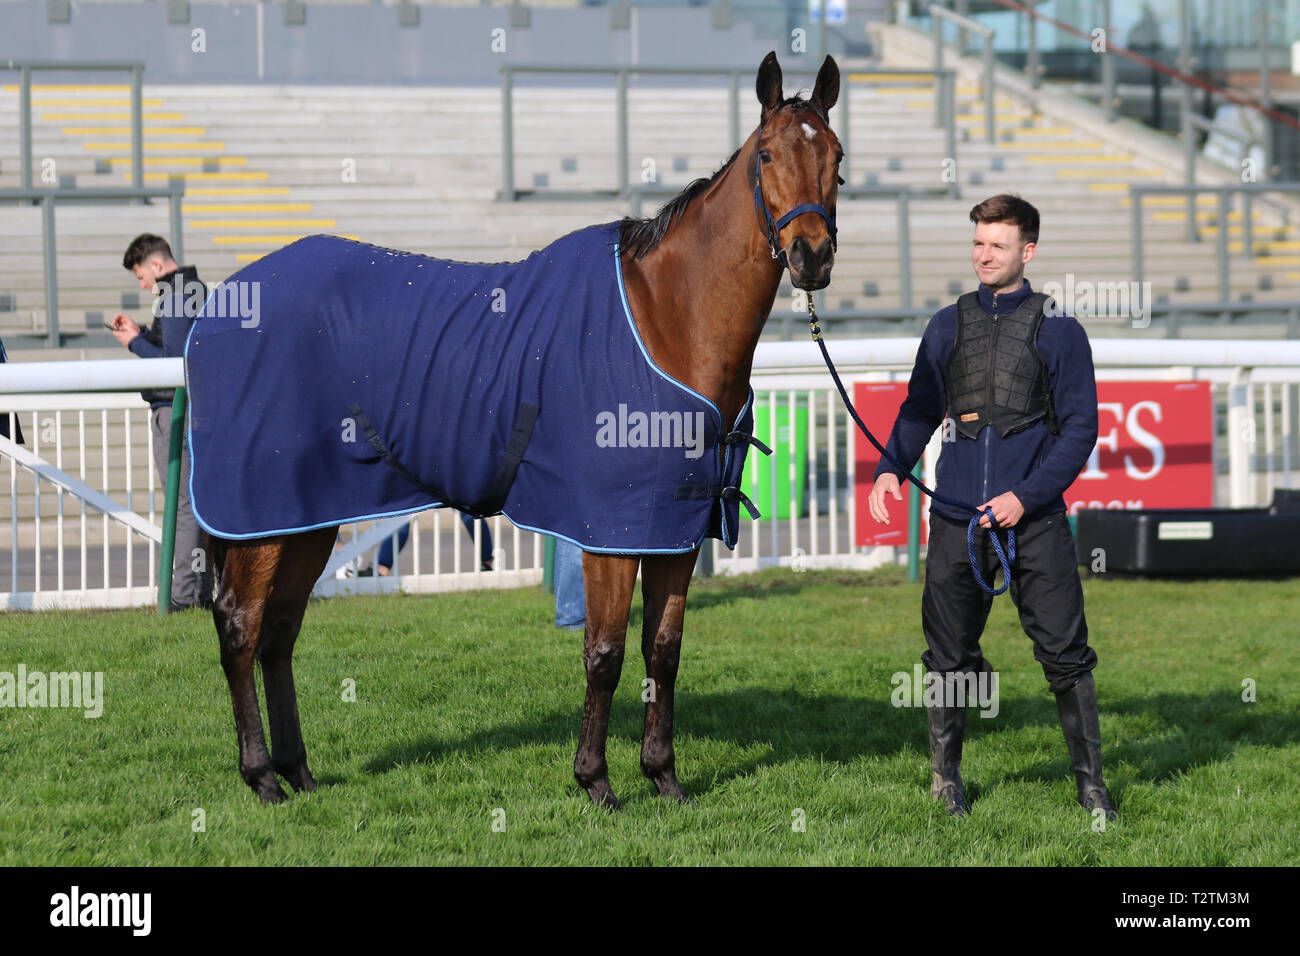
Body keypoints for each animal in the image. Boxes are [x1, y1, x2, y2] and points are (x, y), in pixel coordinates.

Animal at [208, 52, 842, 811]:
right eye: (769, 153)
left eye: (837, 158)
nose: (812, 255)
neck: (665, 320)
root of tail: (223, 300)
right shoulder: (611, 530)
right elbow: (605, 653)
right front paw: (595, 781)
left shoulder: (674, 528)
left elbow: (663, 651)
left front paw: (664, 776)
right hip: (263, 515)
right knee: (241, 623)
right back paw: (260, 776)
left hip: (310, 515)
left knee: (279, 631)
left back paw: (298, 771)